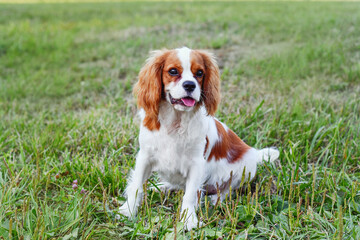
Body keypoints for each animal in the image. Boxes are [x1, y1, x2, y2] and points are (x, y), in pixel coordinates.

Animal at [119, 46, 280, 229]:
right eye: (173, 71)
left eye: (200, 73)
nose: (190, 85)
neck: (176, 121)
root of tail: (254, 152)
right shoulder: (145, 156)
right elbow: (136, 185)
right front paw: (129, 210)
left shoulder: (196, 163)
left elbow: (189, 195)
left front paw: (188, 220)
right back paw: (163, 186)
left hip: (246, 168)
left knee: (228, 190)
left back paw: (214, 199)